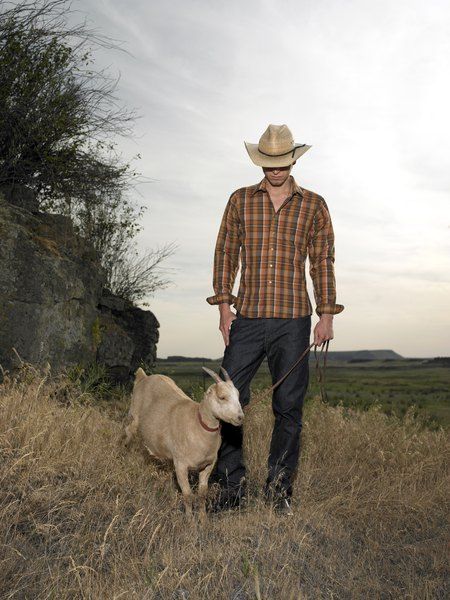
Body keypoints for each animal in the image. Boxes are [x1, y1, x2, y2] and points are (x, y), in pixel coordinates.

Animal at [122, 366, 243, 520]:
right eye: (222, 397)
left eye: (238, 395)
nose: (240, 417)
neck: (197, 422)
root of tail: (143, 376)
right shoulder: (181, 465)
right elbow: (187, 495)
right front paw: (190, 521)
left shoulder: (207, 465)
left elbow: (202, 494)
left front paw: (203, 520)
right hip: (133, 419)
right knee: (128, 438)